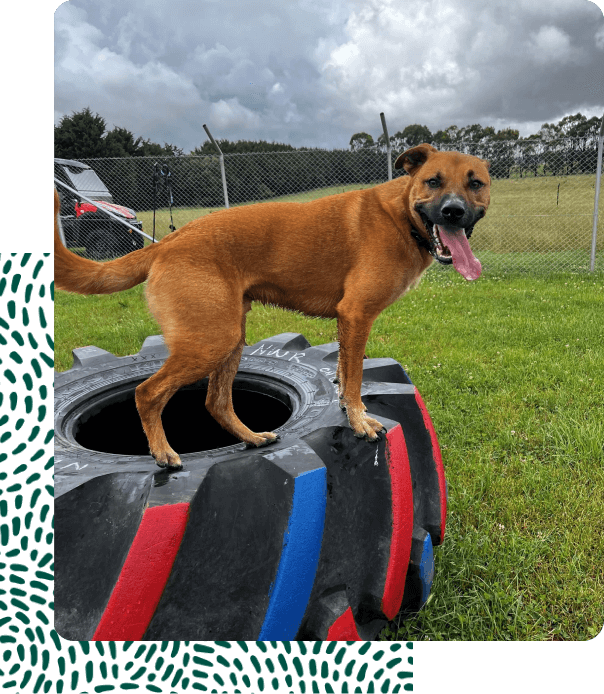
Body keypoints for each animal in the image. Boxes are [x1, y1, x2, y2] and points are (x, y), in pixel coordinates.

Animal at [55, 145, 490, 474]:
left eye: (476, 183)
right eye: (433, 181)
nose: (453, 211)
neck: (401, 214)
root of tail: (166, 244)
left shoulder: (346, 323)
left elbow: (343, 374)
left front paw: (348, 409)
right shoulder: (357, 315)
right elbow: (353, 381)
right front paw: (359, 422)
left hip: (230, 337)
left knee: (216, 402)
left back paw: (251, 437)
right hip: (212, 340)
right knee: (147, 393)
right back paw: (163, 453)